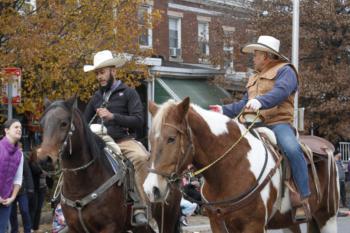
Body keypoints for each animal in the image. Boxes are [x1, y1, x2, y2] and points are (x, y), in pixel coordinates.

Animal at [37, 98, 182, 233]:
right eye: (42, 124)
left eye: (64, 123)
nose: (44, 159)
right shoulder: (74, 228)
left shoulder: (110, 227)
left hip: (167, 221)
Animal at [143, 98, 340, 233]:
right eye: (150, 139)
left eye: (171, 138)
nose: (151, 189)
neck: (230, 169)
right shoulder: (217, 224)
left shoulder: (254, 226)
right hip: (290, 222)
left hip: (327, 217)